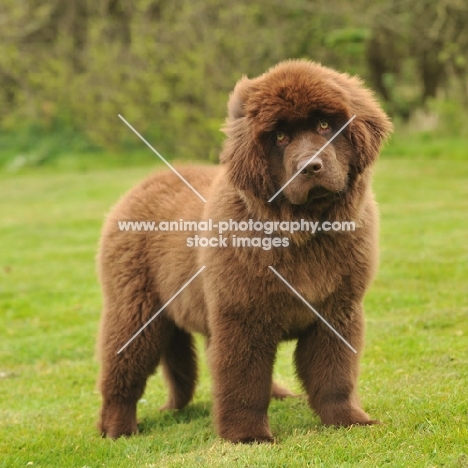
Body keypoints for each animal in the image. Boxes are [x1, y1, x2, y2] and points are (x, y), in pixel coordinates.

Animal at [96, 60, 392, 444]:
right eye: (279, 137)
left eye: (325, 125)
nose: (310, 166)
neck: (302, 232)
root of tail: (145, 183)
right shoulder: (242, 317)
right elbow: (243, 380)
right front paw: (247, 436)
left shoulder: (337, 312)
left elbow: (335, 374)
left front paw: (349, 420)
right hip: (134, 310)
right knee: (121, 368)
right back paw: (117, 428)